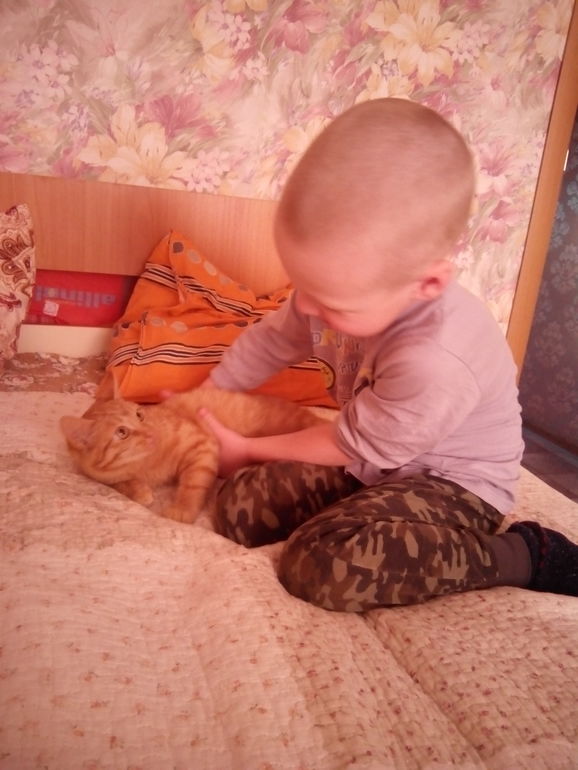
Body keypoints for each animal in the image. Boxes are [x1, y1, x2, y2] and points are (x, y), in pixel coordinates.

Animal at [60, 388, 329, 524]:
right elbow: (119, 483)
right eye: (121, 432)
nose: (150, 432)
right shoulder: (103, 476)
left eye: (139, 415)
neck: (146, 465)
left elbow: (192, 485)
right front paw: (138, 489)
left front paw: (182, 509)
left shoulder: (202, 446)